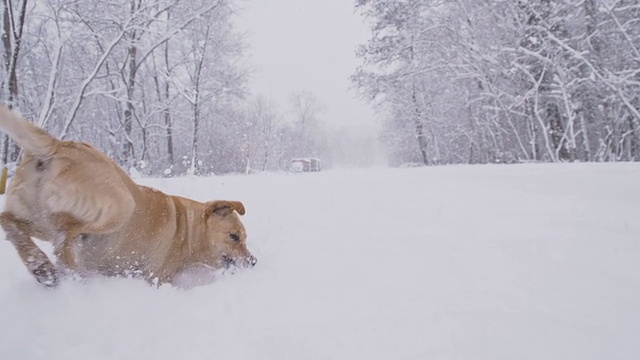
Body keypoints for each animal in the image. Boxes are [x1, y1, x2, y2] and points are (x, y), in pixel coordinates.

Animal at [0, 104, 255, 286]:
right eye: (234, 237)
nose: (253, 261)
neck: (187, 230)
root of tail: (58, 145)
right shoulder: (156, 276)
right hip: (119, 205)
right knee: (65, 236)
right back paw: (72, 272)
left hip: (35, 216)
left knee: (10, 222)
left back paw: (41, 265)